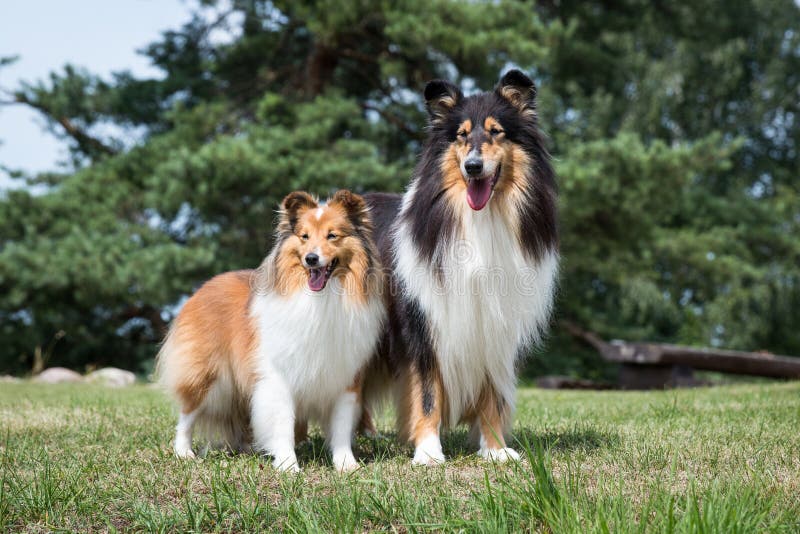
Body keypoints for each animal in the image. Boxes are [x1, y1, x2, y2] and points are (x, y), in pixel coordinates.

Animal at [155, 189, 384, 474]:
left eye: (332, 235)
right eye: (304, 236)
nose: (311, 259)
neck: (321, 299)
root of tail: (205, 286)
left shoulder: (346, 377)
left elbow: (341, 426)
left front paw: (346, 464)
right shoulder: (279, 376)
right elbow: (282, 422)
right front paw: (288, 465)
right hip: (204, 374)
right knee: (186, 414)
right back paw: (183, 452)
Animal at [366, 70, 560, 464]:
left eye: (496, 131)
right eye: (461, 135)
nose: (473, 166)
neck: (481, 218)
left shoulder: (496, 328)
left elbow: (493, 394)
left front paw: (496, 450)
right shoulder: (424, 325)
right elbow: (427, 394)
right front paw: (428, 452)